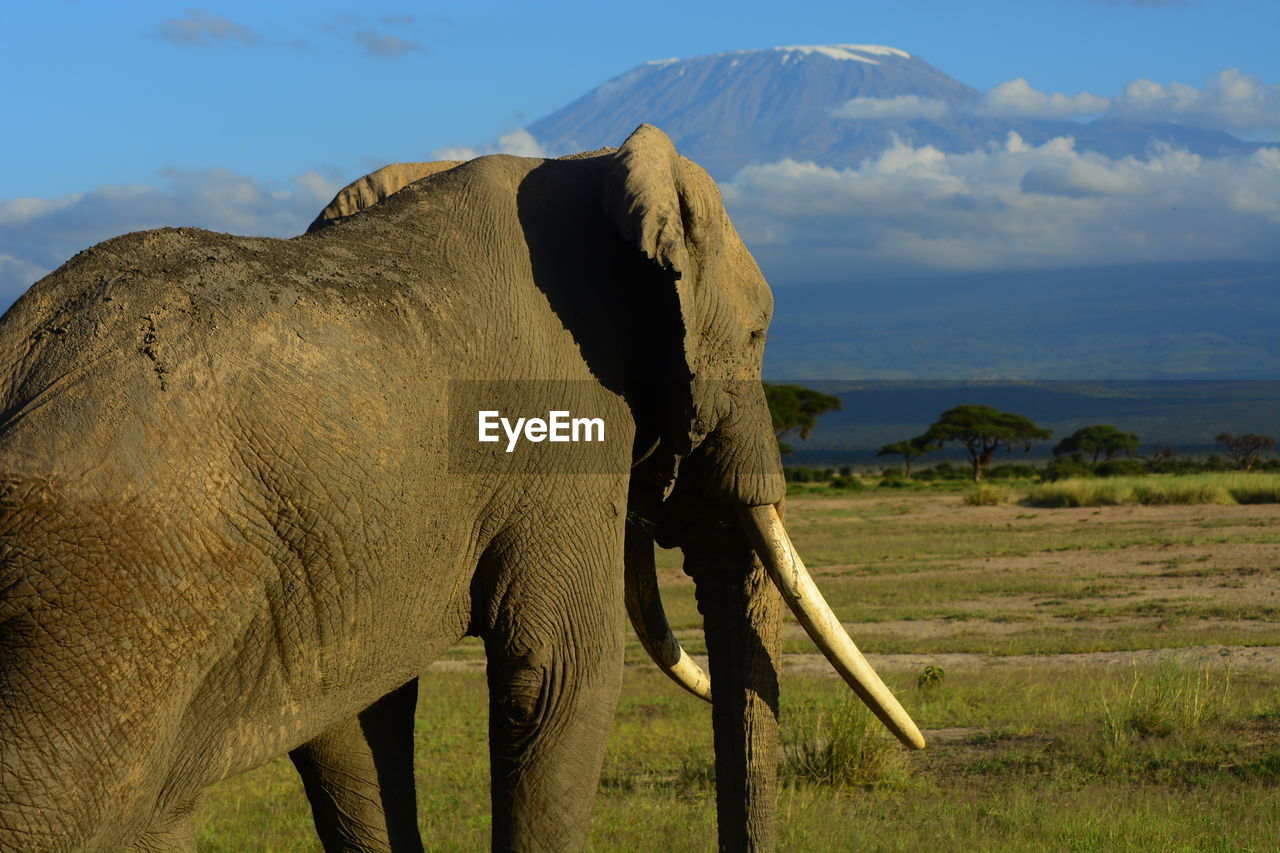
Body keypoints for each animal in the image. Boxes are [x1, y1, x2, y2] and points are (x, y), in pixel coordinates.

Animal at [0, 121, 921, 850]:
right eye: (760, 333)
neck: (586, 168)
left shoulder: (336, 549)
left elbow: (356, 721)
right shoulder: (556, 423)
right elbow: (563, 672)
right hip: (111, 592)